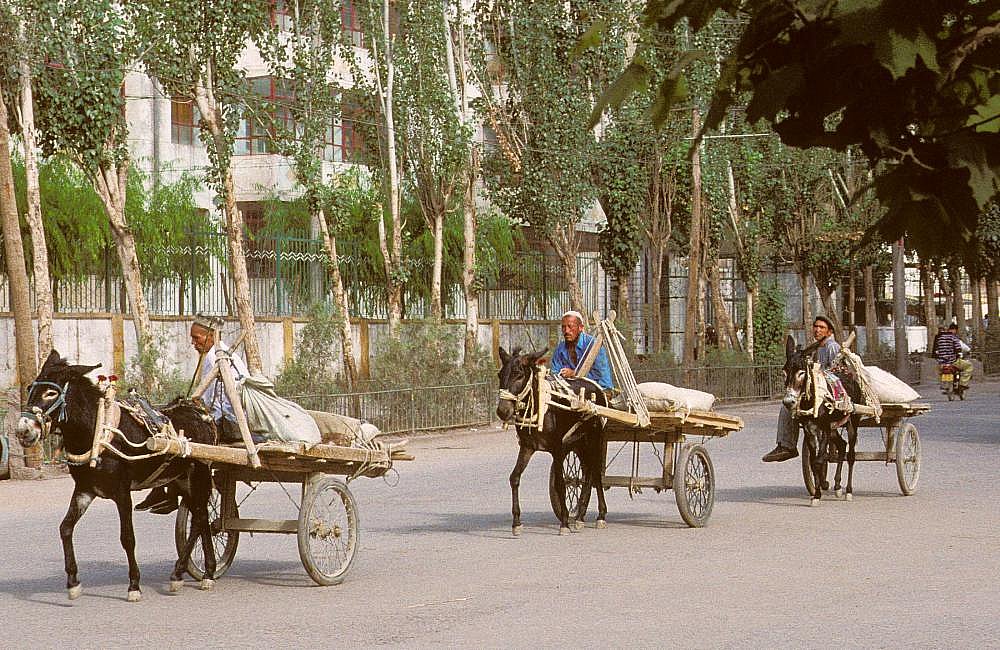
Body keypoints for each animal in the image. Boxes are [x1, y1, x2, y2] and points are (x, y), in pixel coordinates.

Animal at [14, 349, 219, 602]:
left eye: (51, 393)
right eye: (30, 388)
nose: (22, 431)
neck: (97, 433)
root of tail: (201, 413)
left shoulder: (122, 493)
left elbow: (127, 537)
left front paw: (134, 586)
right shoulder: (85, 490)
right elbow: (65, 528)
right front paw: (73, 583)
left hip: (199, 474)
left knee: (199, 519)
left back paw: (184, 574)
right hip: (182, 479)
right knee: (201, 517)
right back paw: (202, 573)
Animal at [496, 346, 608, 535]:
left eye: (519, 375)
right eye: (500, 374)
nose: (502, 411)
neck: (541, 408)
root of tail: (597, 388)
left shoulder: (558, 449)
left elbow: (560, 484)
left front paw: (564, 523)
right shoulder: (527, 447)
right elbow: (514, 478)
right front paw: (516, 523)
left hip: (595, 439)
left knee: (596, 474)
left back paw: (600, 516)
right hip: (579, 443)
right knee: (587, 472)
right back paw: (580, 517)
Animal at [782, 335, 863, 505]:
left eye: (801, 372)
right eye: (784, 372)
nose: (788, 402)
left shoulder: (824, 428)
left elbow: (820, 460)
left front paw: (821, 488)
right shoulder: (809, 430)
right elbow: (814, 462)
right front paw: (816, 494)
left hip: (852, 422)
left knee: (851, 455)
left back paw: (848, 491)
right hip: (834, 428)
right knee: (842, 446)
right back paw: (838, 486)